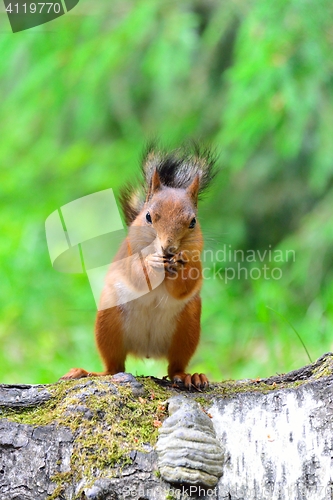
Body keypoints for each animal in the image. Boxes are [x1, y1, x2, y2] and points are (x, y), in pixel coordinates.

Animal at [61, 145, 217, 390]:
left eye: (192, 222)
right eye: (148, 216)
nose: (168, 248)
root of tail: (147, 350)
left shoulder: (196, 259)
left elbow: (187, 283)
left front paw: (180, 265)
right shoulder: (127, 254)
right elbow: (134, 273)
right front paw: (150, 262)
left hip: (187, 329)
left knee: (175, 368)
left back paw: (190, 376)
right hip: (108, 323)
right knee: (114, 367)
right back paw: (86, 372)